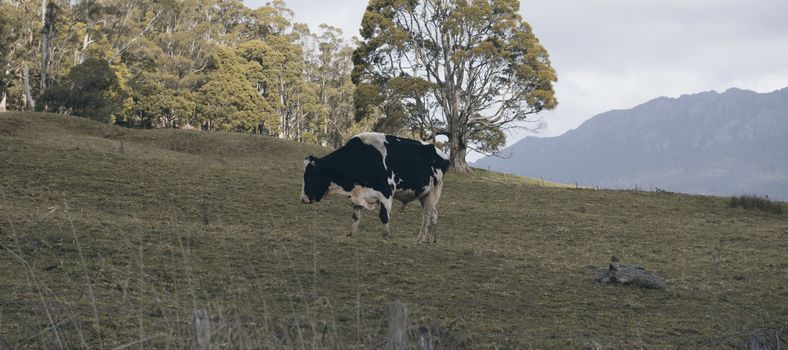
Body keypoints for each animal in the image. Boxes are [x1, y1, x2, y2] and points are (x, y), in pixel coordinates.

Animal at [300, 133, 450, 242]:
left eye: (309, 177)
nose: (303, 199)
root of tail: (443, 155)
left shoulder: (386, 192)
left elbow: (384, 215)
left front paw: (386, 236)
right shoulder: (358, 192)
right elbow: (355, 216)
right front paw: (352, 234)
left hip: (433, 192)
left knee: (427, 215)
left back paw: (421, 238)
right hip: (424, 194)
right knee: (434, 214)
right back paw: (431, 239)